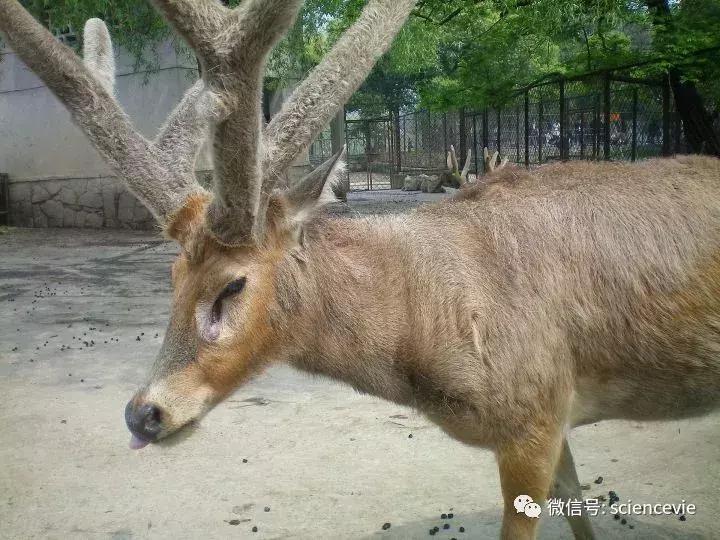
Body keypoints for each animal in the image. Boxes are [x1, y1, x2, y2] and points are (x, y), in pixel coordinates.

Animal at [2, 1, 720, 539]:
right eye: (172, 279)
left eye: (233, 283)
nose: (143, 414)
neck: (438, 327)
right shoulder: (558, 415)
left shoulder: (534, 413)